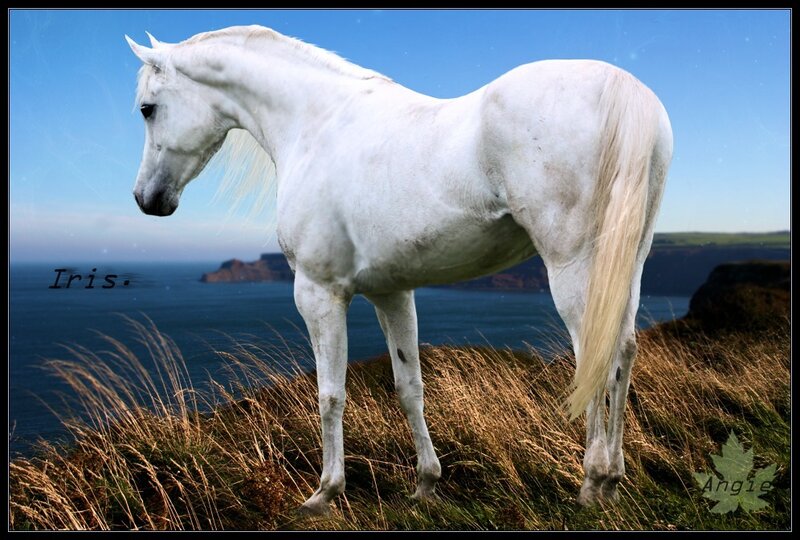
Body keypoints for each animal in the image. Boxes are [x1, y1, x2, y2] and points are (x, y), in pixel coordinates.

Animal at [126, 25, 672, 516]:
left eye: (147, 109)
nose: (146, 199)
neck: (317, 123)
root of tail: (626, 90)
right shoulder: (392, 292)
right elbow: (410, 388)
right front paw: (426, 484)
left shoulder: (318, 293)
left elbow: (330, 394)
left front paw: (325, 493)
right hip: (629, 265)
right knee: (624, 350)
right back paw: (614, 479)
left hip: (574, 267)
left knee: (596, 354)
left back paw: (593, 482)